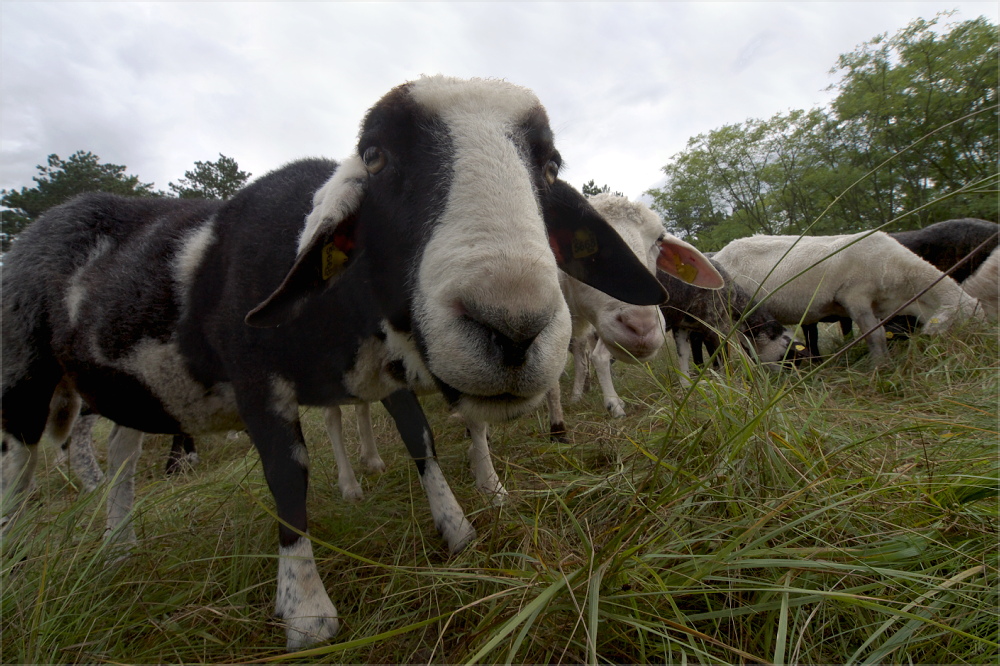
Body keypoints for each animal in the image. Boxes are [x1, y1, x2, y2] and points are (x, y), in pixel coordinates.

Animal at [3, 74, 672, 648]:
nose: (513, 328)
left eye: (550, 165)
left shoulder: (389, 365)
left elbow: (422, 440)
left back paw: (119, 547)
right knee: (20, 477)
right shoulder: (256, 380)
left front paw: (456, 529)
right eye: (374, 156)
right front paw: (306, 611)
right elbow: (288, 478)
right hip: (23, 383)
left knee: (121, 456)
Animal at [712, 230, 984, 364]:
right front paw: (880, 367)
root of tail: (721, 252)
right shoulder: (855, 297)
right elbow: (874, 336)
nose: (978, 354)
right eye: (963, 324)